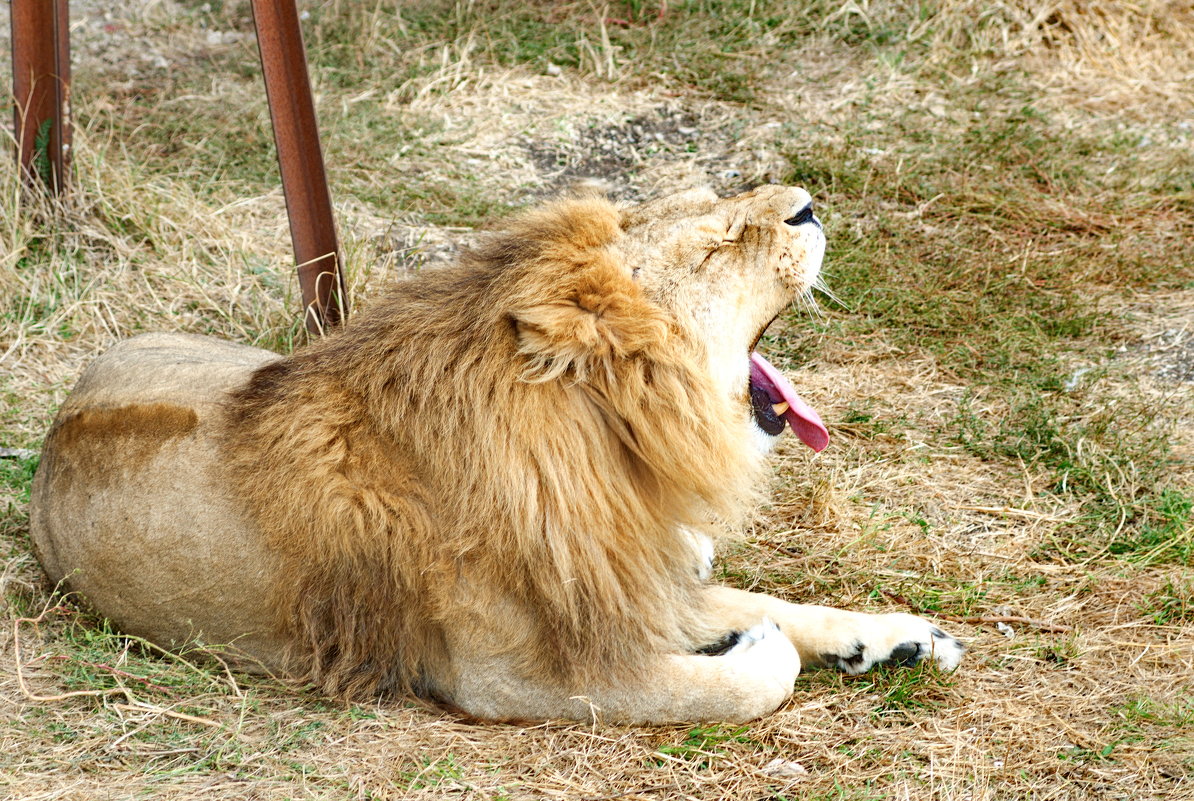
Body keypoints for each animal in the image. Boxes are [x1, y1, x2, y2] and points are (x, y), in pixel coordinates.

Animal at [28, 185, 959, 725]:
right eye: (715, 243)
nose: (805, 202)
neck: (611, 456)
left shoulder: (617, 576)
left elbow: (767, 598)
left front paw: (898, 635)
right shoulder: (508, 676)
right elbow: (732, 681)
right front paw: (756, 648)